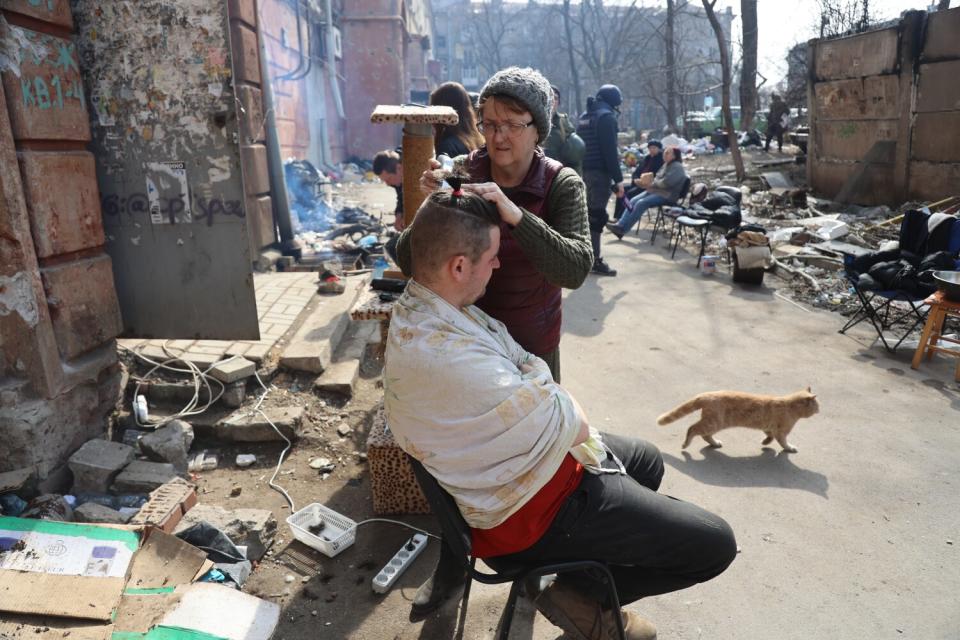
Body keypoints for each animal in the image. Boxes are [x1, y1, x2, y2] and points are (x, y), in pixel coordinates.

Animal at [660, 388, 816, 452]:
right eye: (817, 405)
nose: (819, 409)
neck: (790, 405)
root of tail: (707, 394)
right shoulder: (781, 431)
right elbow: (783, 442)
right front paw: (790, 448)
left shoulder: (769, 427)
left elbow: (769, 436)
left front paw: (765, 442)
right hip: (713, 423)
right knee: (692, 429)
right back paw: (686, 444)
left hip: (713, 424)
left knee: (705, 435)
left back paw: (715, 443)